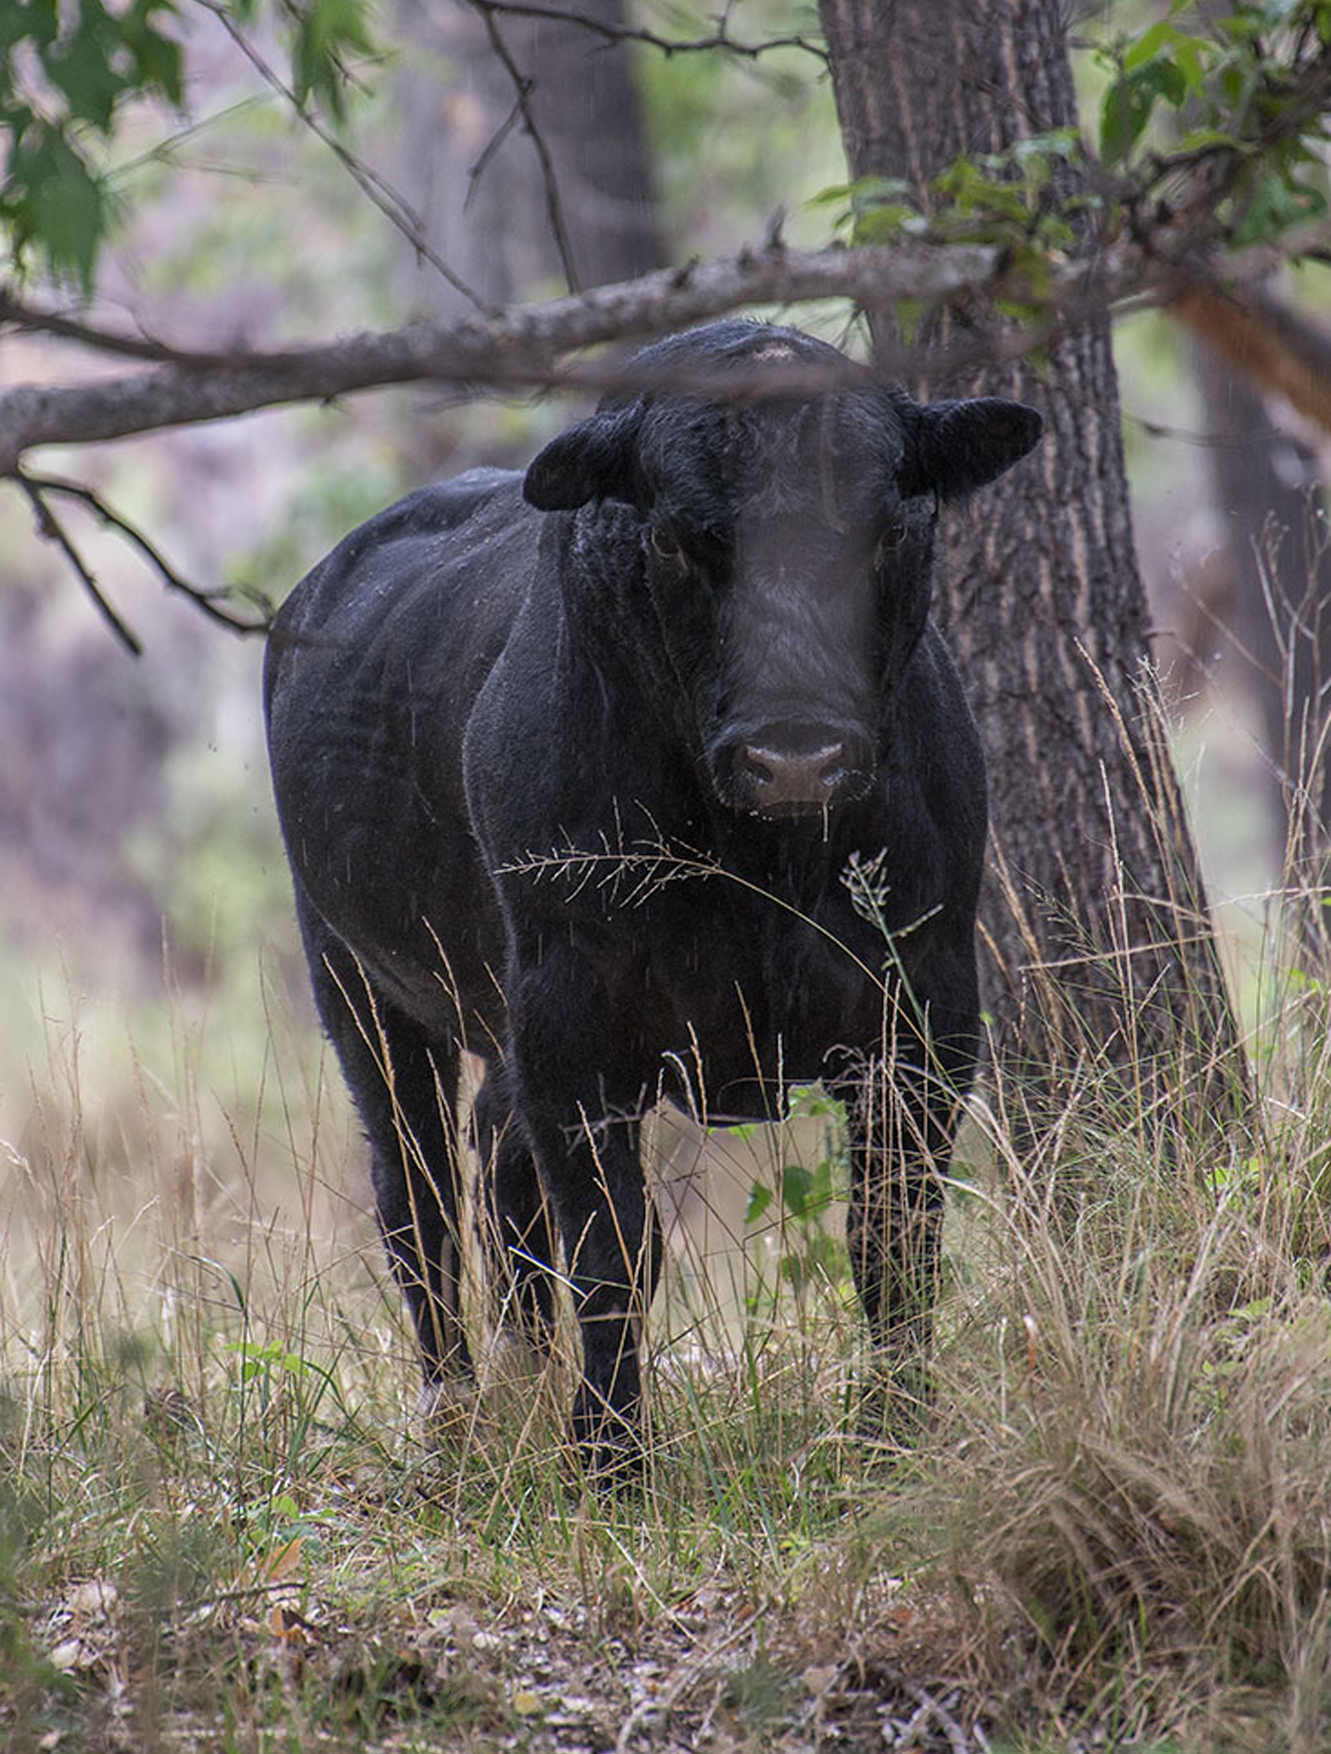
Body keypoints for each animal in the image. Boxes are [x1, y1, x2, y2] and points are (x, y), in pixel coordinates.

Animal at [264, 319, 1042, 1477]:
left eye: (887, 530)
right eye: (678, 538)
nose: (795, 753)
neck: (758, 866)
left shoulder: (925, 1012)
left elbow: (891, 1239)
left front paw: (893, 1434)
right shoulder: (572, 1027)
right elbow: (613, 1252)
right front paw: (612, 1460)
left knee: (495, 1164)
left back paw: (523, 1372)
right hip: (359, 984)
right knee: (417, 1195)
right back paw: (456, 1412)